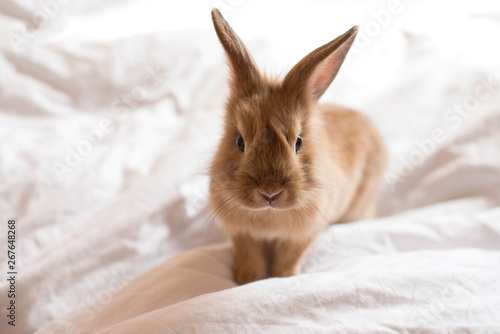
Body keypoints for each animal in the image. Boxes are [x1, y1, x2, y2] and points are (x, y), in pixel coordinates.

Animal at [207, 9, 386, 284]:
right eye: (240, 142)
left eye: (298, 142)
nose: (270, 193)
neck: (270, 215)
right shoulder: (242, 234)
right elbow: (250, 256)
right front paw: (246, 280)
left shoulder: (302, 235)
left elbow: (287, 258)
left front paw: (283, 278)